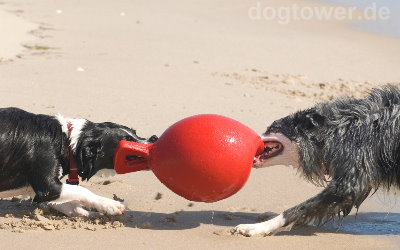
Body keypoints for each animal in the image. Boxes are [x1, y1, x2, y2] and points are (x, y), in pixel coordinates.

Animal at [0, 107, 157, 217]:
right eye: (126, 141)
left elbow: (68, 204)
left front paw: (90, 213)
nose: (154, 138)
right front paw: (109, 204)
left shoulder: (41, 191)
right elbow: (81, 190)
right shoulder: (47, 186)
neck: (66, 140)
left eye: (135, 132)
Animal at [231, 85, 400, 236]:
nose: (252, 137)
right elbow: (311, 209)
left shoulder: (350, 181)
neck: (337, 129)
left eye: (272, 128)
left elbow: (300, 208)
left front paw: (257, 228)